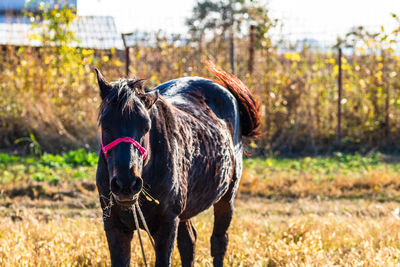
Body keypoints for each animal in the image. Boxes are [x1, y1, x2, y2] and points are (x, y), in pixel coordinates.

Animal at [95, 61, 260, 267]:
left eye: (146, 126)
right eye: (105, 124)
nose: (126, 183)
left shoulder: (167, 225)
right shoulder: (114, 226)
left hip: (226, 197)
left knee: (219, 241)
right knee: (189, 242)